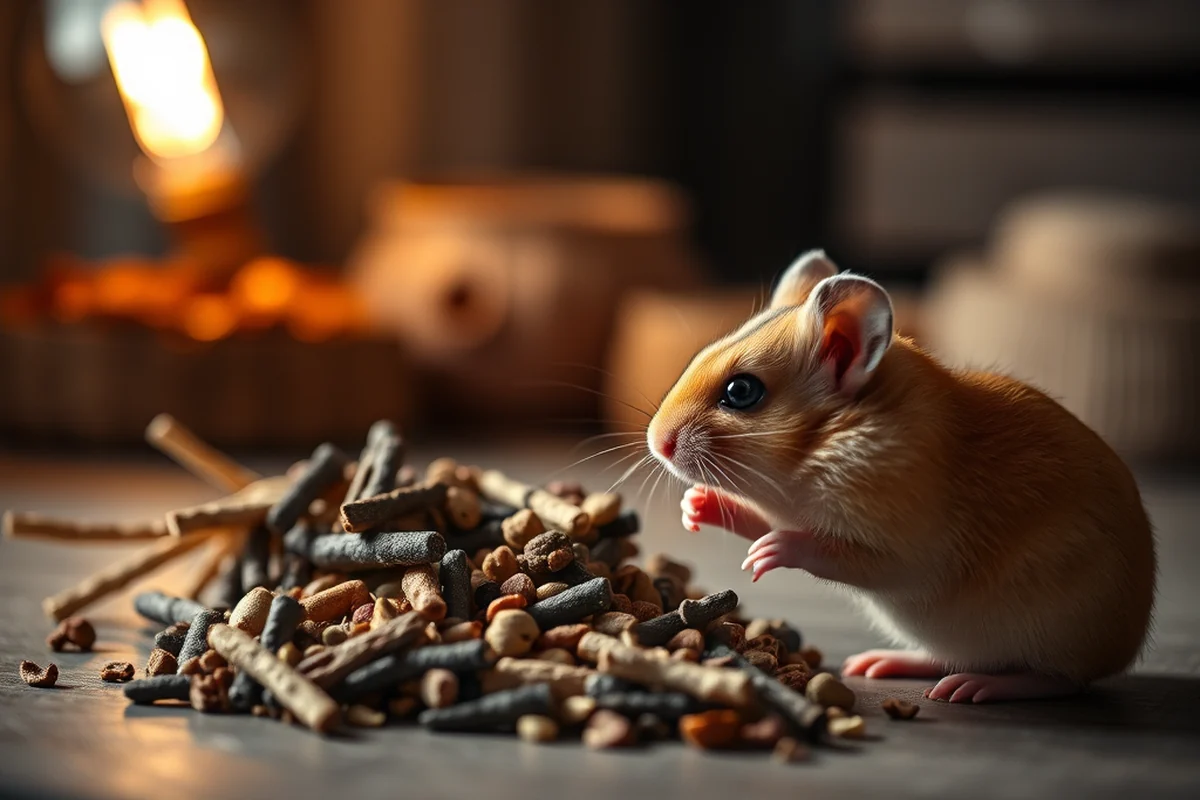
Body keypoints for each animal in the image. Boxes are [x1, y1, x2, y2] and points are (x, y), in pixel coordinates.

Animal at [646, 250, 1156, 703]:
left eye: (741, 391)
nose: (656, 442)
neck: (802, 464)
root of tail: (1124, 649)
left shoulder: (901, 551)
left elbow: (823, 550)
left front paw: (768, 553)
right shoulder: (784, 508)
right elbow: (756, 520)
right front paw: (696, 506)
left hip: (1052, 636)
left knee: (1058, 680)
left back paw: (976, 687)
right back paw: (881, 662)